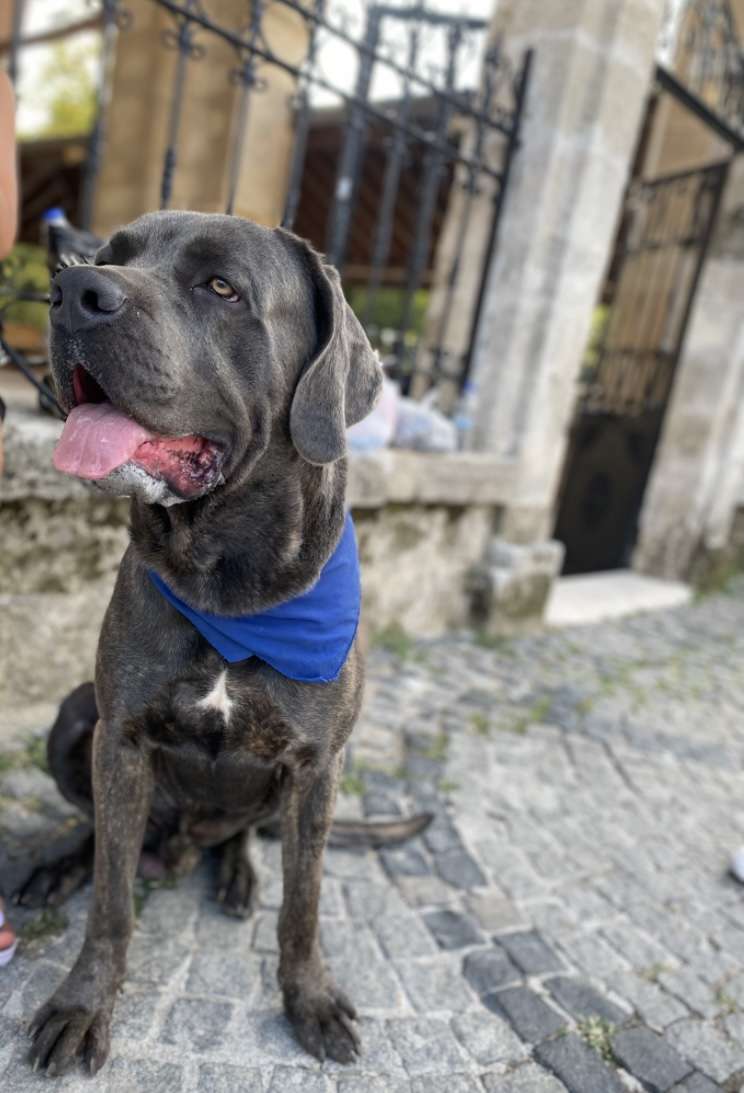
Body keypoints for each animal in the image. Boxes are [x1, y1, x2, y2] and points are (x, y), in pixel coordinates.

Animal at [24, 211, 429, 1076]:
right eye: (113, 257)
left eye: (221, 287)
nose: (72, 288)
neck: (229, 583)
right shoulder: (121, 738)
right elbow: (111, 900)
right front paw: (83, 1004)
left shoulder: (318, 767)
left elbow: (303, 905)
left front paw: (310, 998)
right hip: (76, 717)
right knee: (102, 831)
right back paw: (58, 865)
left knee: (243, 831)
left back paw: (238, 873)